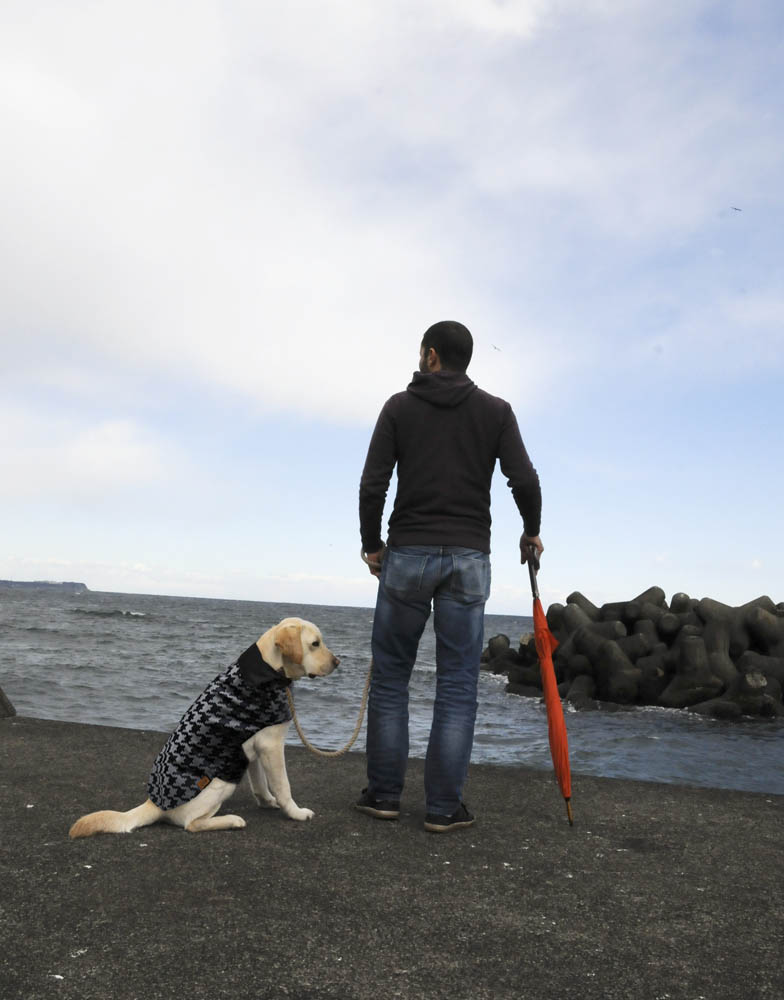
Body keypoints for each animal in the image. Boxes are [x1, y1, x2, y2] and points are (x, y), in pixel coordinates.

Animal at [68, 616, 336, 836]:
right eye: (315, 643)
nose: (338, 662)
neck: (269, 669)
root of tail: (153, 804)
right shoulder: (272, 745)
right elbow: (283, 786)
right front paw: (296, 812)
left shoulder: (252, 748)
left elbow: (260, 783)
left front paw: (268, 802)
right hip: (220, 782)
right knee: (192, 824)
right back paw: (232, 820)